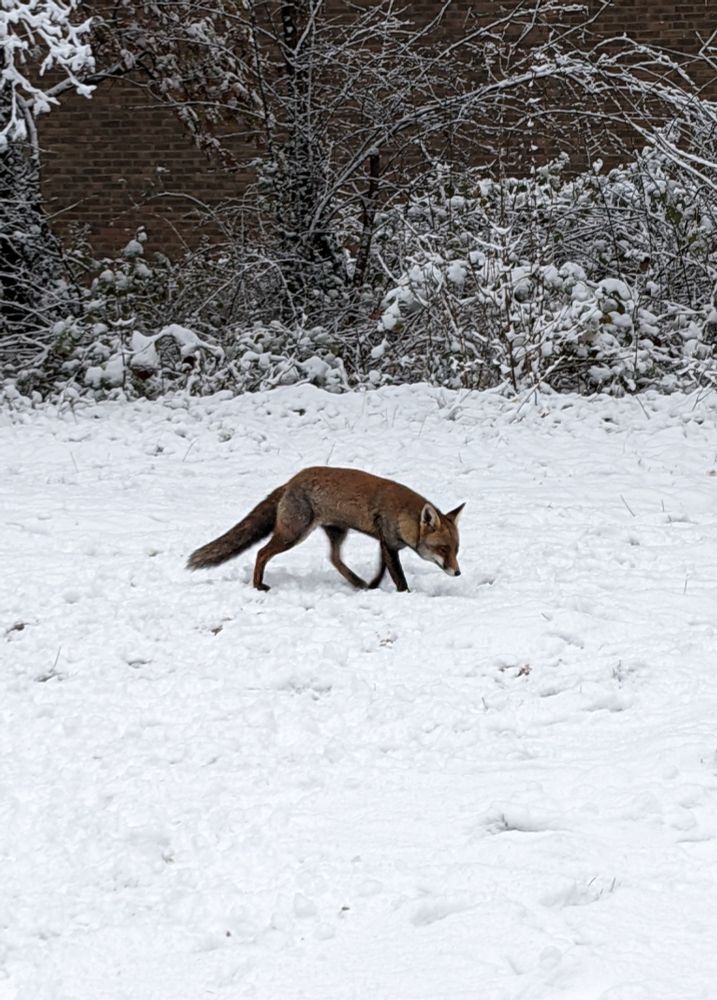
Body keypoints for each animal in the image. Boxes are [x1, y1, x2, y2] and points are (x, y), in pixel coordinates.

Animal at [187, 466, 465, 593]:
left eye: (456, 550)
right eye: (443, 549)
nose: (458, 573)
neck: (401, 515)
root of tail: (292, 480)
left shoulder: (384, 544)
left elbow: (382, 570)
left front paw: (373, 585)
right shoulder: (388, 543)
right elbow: (399, 578)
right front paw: (403, 594)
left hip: (336, 531)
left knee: (334, 558)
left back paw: (357, 581)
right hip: (293, 534)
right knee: (261, 553)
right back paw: (258, 585)